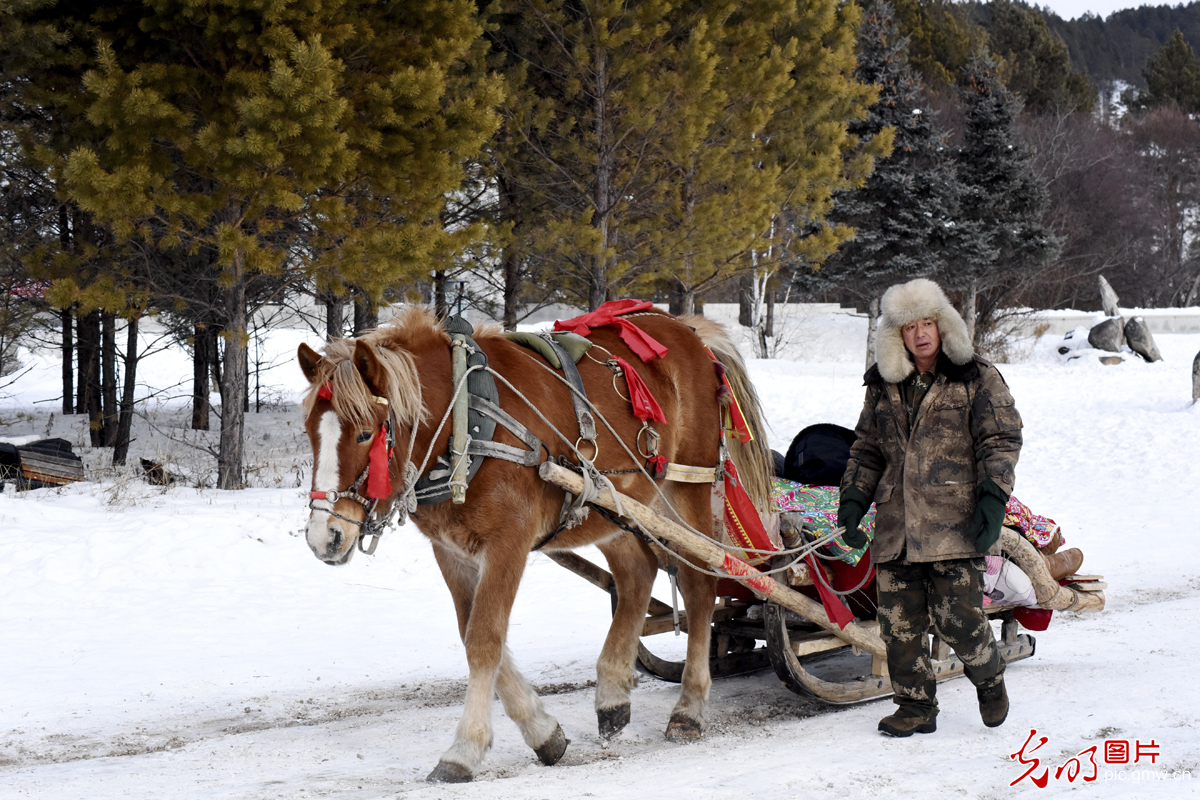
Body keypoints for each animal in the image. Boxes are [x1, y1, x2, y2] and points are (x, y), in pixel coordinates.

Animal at [295, 307, 772, 782]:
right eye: (310, 431)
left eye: (364, 434)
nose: (324, 538)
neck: (463, 421)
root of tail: (688, 329)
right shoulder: (451, 550)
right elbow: (472, 633)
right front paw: (544, 733)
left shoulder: (509, 541)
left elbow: (484, 638)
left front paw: (464, 750)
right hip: (614, 506)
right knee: (638, 575)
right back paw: (613, 695)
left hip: (684, 490)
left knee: (698, 585)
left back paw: (689, 708)